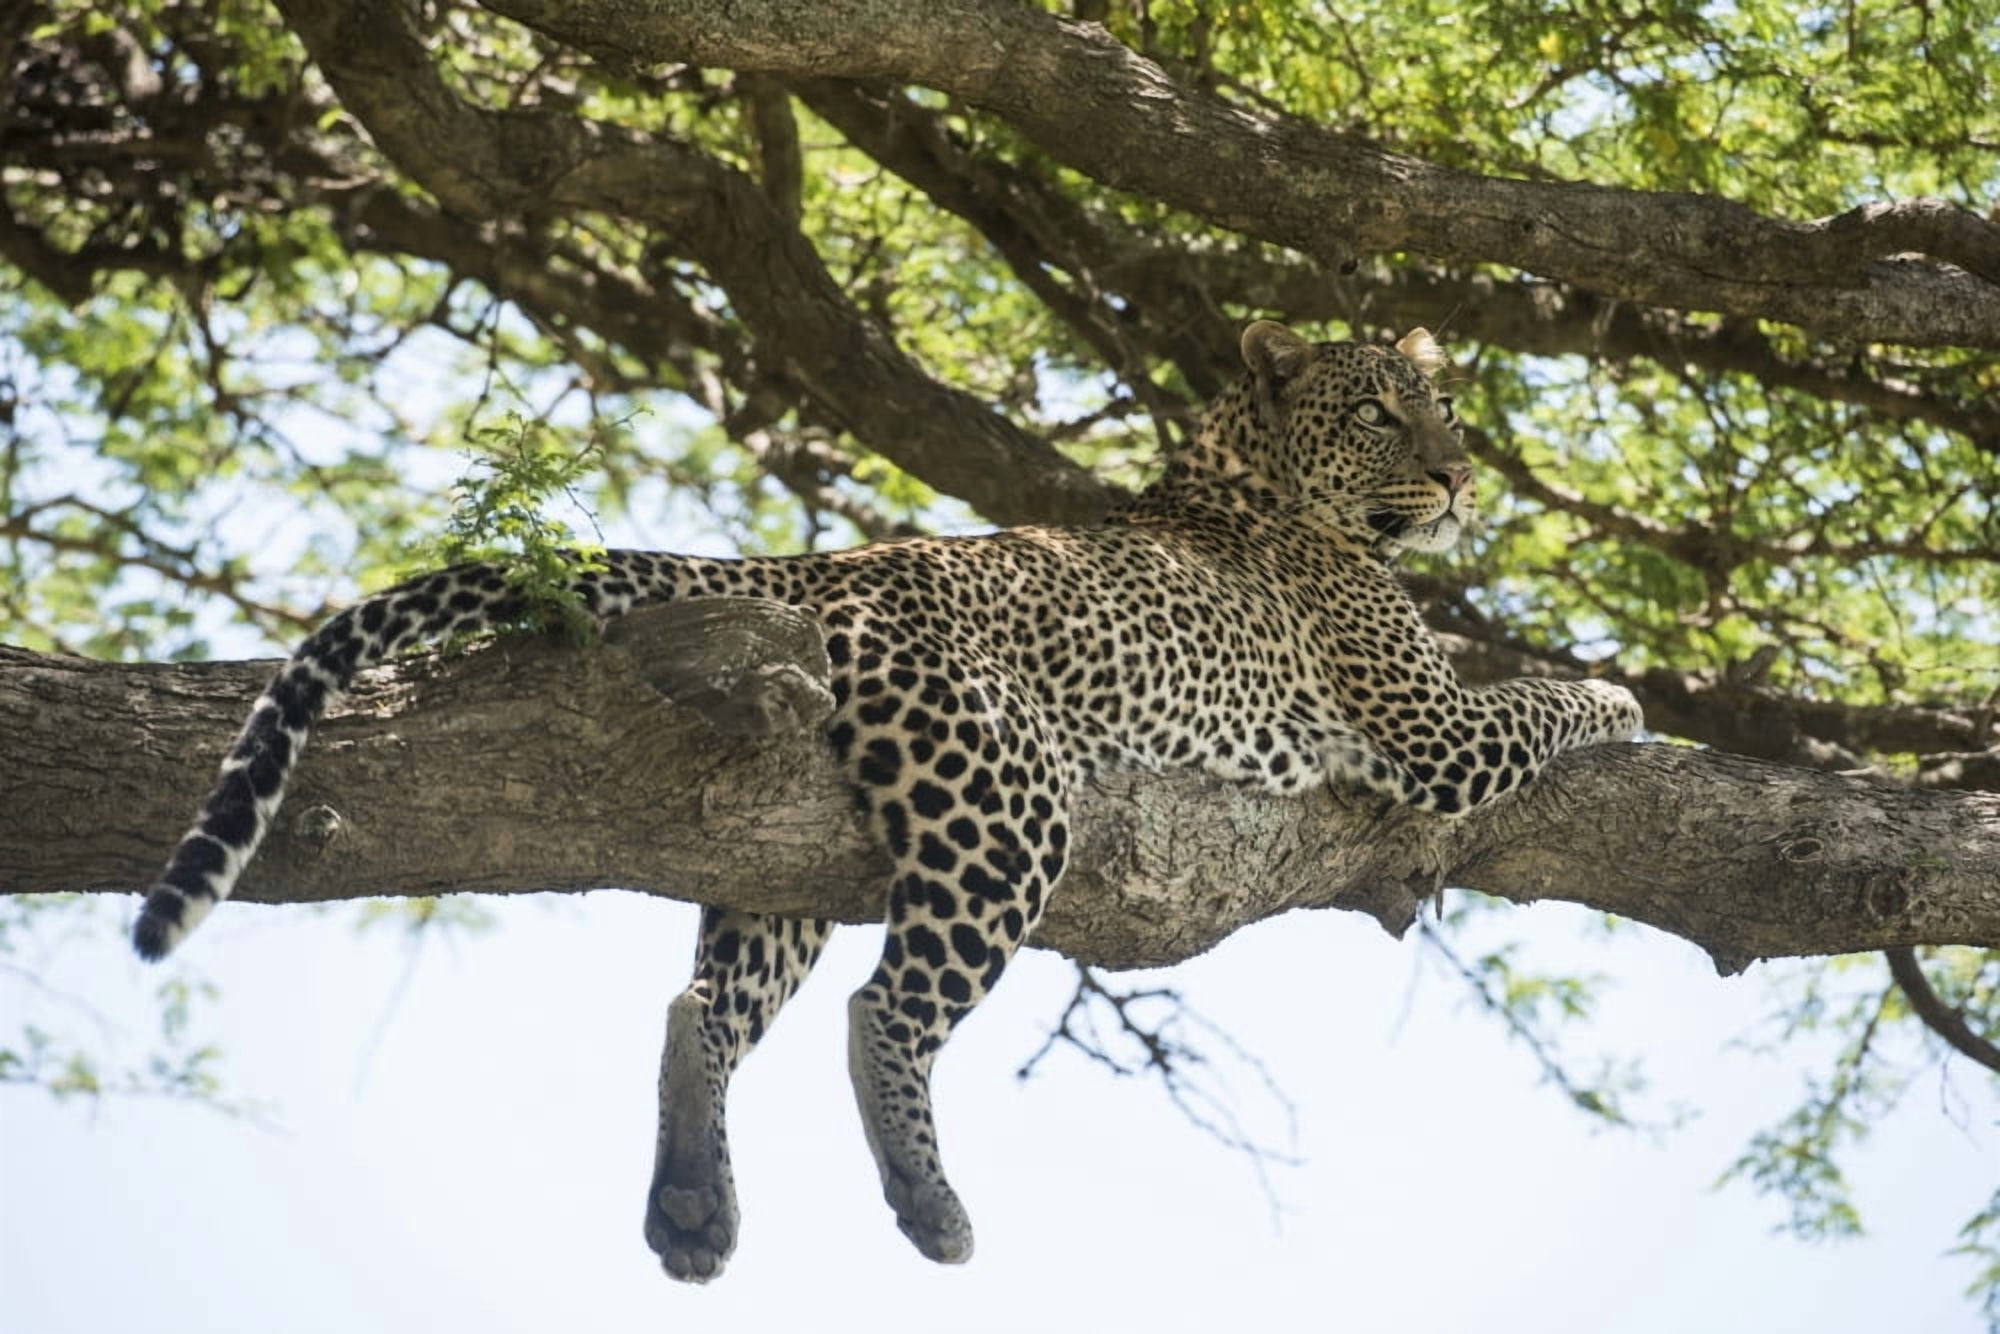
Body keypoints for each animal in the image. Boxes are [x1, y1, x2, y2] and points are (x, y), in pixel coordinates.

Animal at [131, 320, 1643, 1282]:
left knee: (703, 1005)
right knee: (885, 1011)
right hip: (1004, 795)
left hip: (786, 842)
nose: (1459, 474)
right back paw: (928, 1201)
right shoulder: (1430, 727)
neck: (1244, 475)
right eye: (1379, 410)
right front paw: (1624, 697)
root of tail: (808, 566)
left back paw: (693, 1205)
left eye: (1444, 409)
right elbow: (1535, 696)